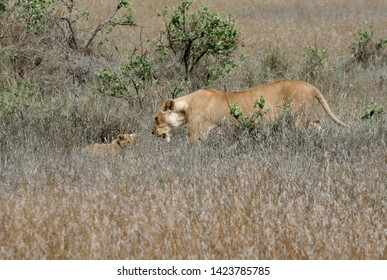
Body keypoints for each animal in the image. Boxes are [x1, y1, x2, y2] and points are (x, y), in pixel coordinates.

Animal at [153, 80, 350, 143]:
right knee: (317, 123)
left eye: (156, 118)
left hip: (299, 118)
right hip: (305, 117)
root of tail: (309, 85)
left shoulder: (196, 133)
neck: (185, 108)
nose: (152, 132)